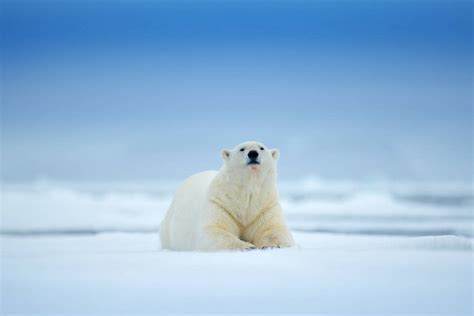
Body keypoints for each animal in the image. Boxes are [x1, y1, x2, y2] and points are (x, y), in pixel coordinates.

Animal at [161, 141, 294, 252]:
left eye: (261, 148)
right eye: (242, 149)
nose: (253, 153)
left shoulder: (264, 207)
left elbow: (273, 229)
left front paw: (272, 245)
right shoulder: (221, 204)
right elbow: (215, 230)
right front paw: (247, 246)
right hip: (169, 228)